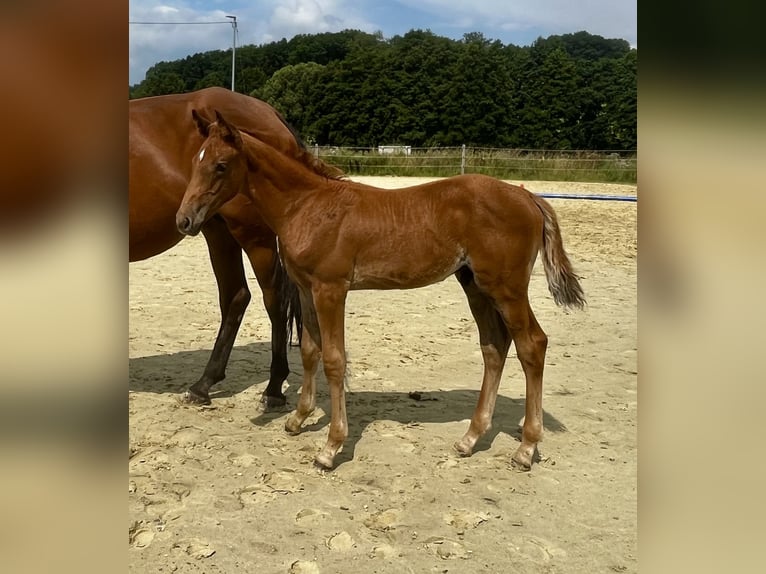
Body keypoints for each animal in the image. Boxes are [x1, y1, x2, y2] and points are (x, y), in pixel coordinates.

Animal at [129, 88, 336, 406]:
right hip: (217, 231)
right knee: (236, 295)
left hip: (252, 236)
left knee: (272, 298)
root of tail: (270, 112)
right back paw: (204, 383)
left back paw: (273, 388)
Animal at [176, 110, 586, 470]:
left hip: (507, 287)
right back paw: (470, 439)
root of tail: (527, 195)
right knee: (494, 346)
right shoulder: (306, 289)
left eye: (221, 165)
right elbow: (309, 351)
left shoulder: (331, 290)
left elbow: (334, 359)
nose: (184, 220)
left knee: (532, 344)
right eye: (195, 161)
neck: (307, 206)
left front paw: (330, 447)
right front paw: (297, 419)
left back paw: (526, 448)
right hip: (474, 284)